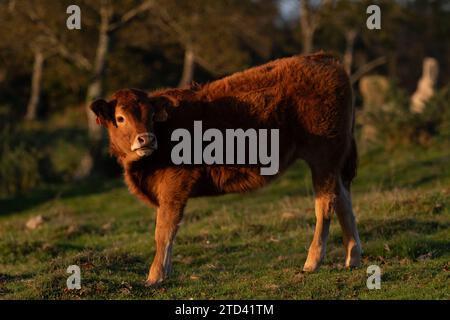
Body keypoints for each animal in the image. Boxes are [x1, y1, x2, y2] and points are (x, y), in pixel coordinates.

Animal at [90, 53, 362, 288]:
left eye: (151, 115)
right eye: (120, 118)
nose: (146, 139)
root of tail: (324, 58)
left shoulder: (174, 186)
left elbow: (163, 231)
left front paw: (155, 277)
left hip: (323, 156)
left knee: (325, 205)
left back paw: (312, 262)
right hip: (333, 161)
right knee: (343, 202)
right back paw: (353, 257)